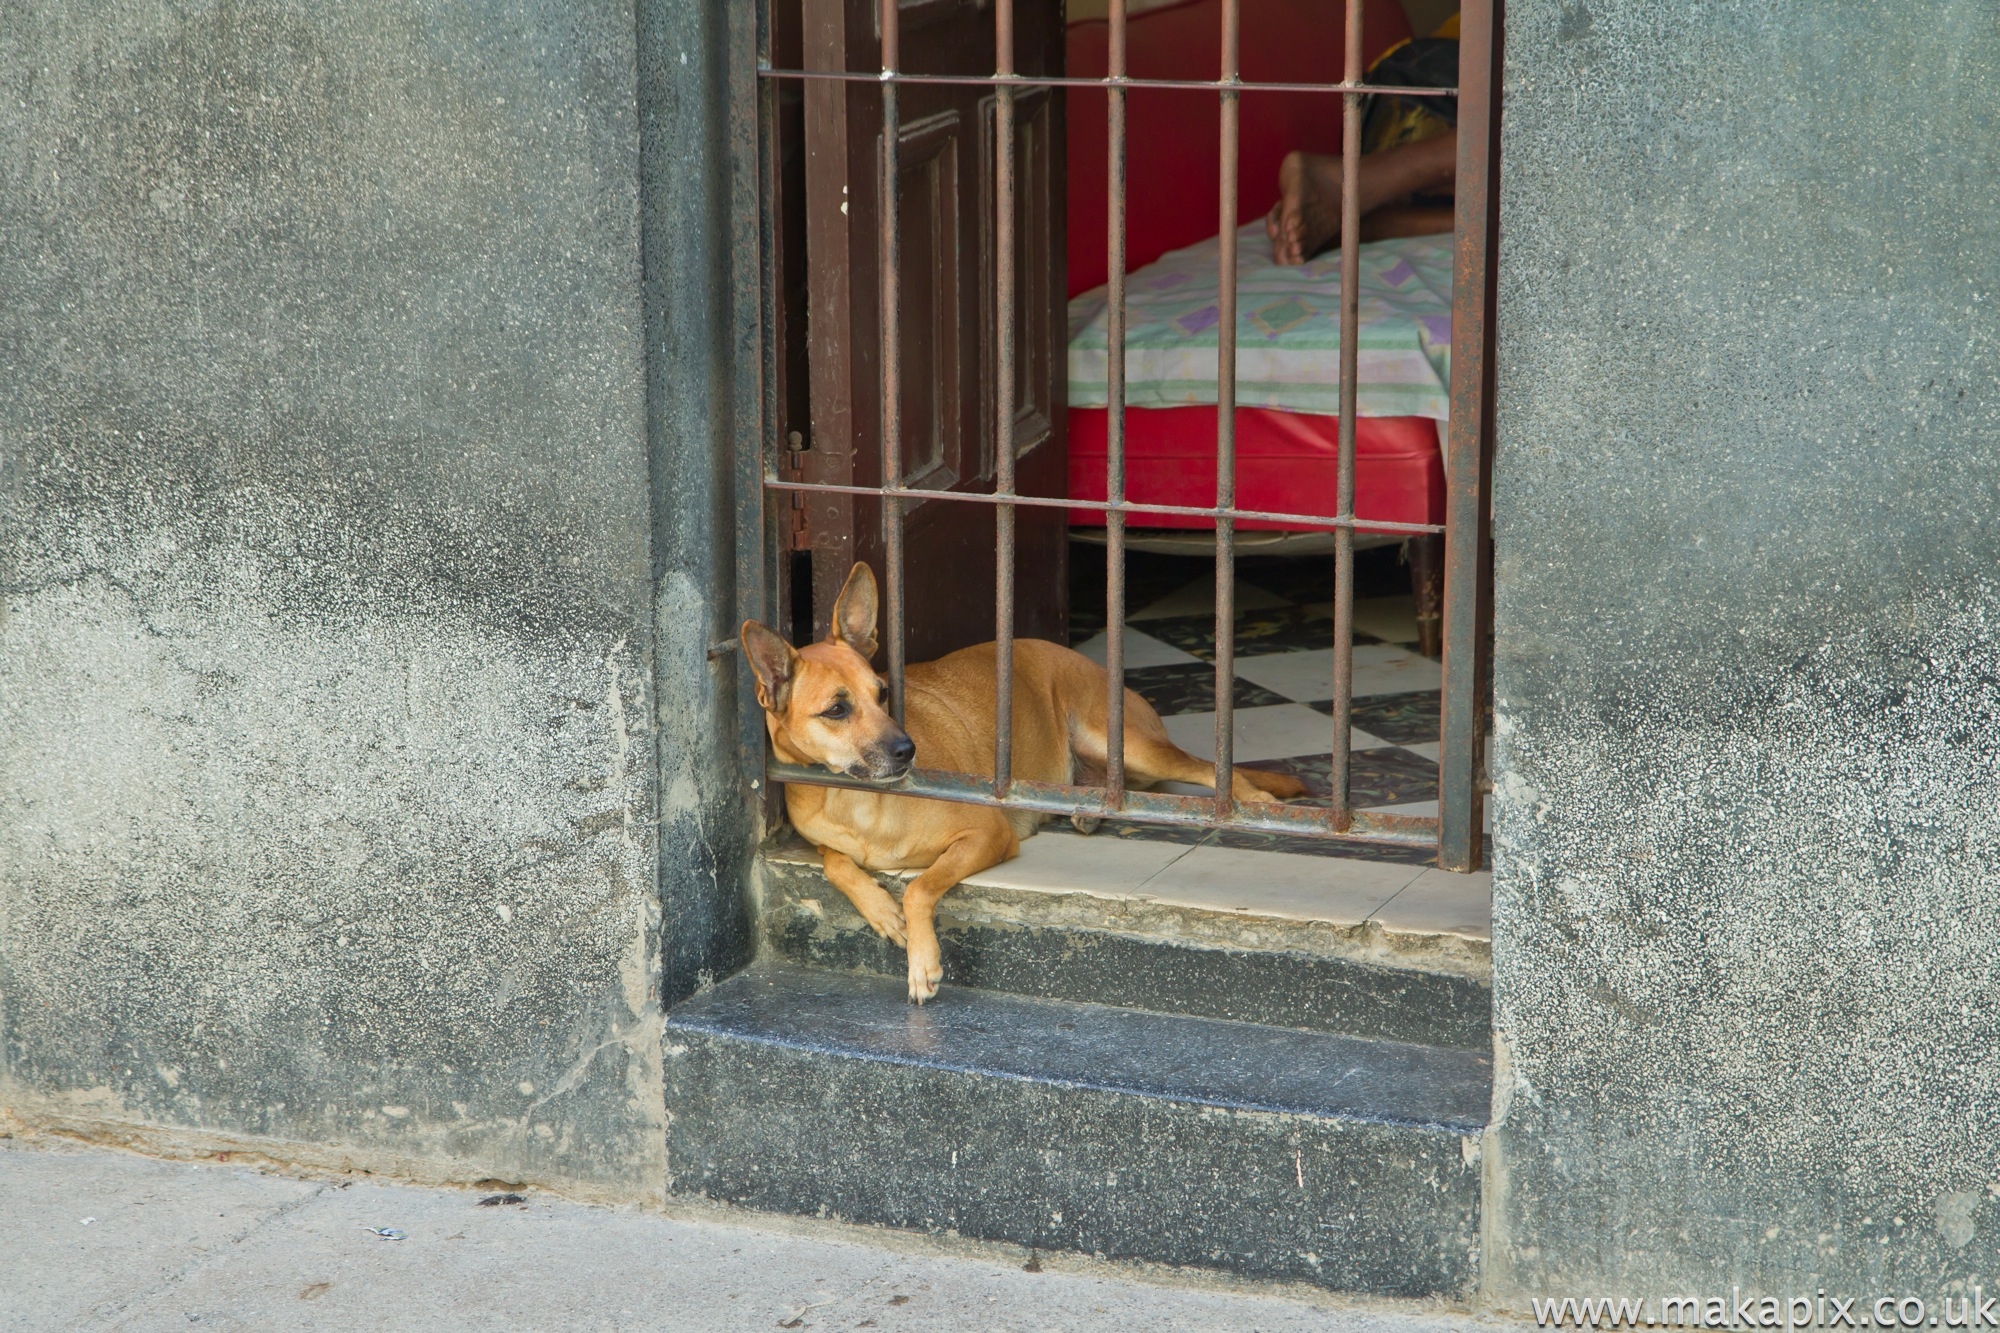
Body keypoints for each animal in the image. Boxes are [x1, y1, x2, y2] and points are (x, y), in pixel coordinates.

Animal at [744, 560, 1304, 996]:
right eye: (837, 709)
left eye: (883, 693)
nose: (907, 750)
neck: (855, 801)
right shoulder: (820, 836)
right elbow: (837, 863)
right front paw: (881, 910)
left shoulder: (987, 837)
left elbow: (920, 886)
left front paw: (922, 962)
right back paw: (1087, 810)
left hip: (1126, 743)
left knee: (1205, 771)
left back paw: (1255, 802)